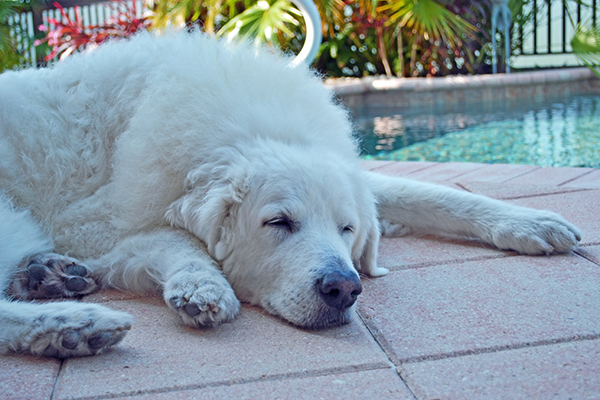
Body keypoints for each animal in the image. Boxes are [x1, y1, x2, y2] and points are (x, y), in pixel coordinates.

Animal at [0, 30, 580, 356]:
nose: (344, 289)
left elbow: (429, 194)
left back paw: (47, 279)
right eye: (278, 223)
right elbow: (178, 241)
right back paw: (73, 326)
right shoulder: (95, 225)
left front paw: (531, 223)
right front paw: (201, 287)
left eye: (347, 229)